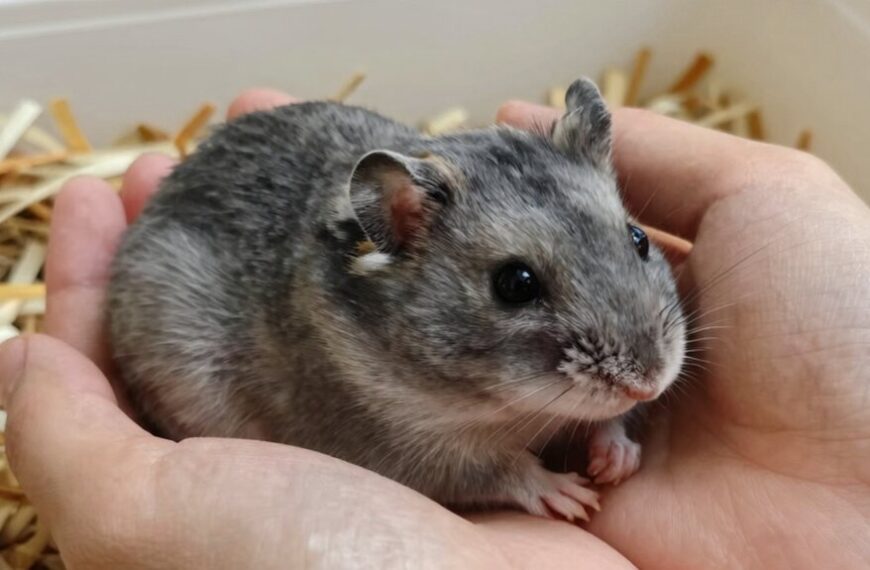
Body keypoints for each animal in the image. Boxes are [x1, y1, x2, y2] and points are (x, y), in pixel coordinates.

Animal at [108, 78, 685, 520]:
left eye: (639, 239)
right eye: (515, 283)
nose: (648, 382)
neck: (499, 406)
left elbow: (609, 421)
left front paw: (615, 463)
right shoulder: (423, 454)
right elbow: (506, 470)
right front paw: (575, 496)